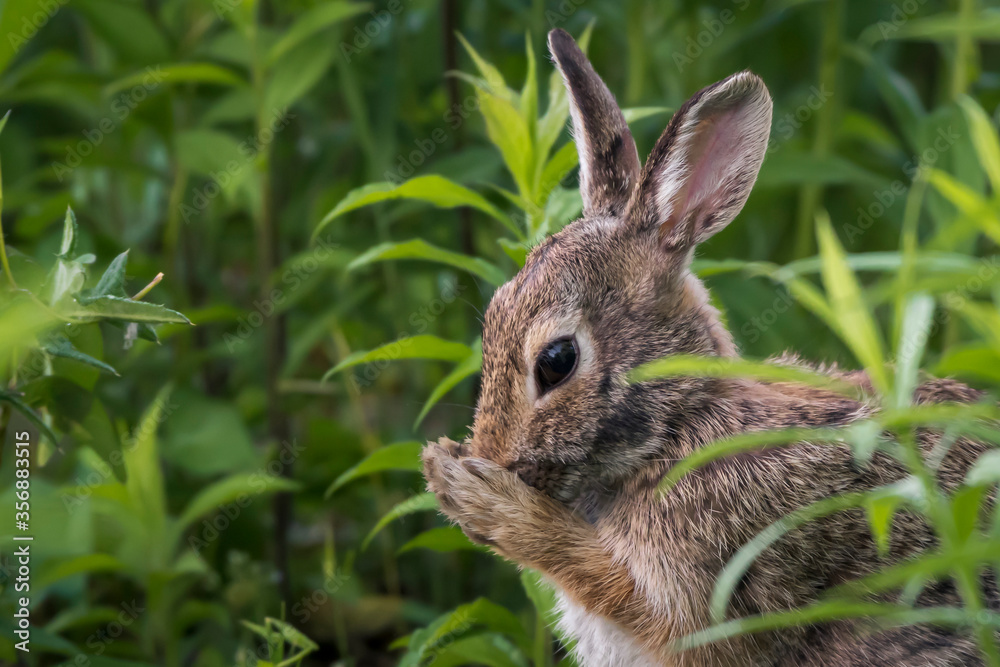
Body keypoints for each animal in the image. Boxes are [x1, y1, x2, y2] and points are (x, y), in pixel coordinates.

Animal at [423, 28, 993, 666]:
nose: (491, 455)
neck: (678, 429)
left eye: (557, 361)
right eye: (493, 311)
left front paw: (469, 489)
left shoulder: (710, 591)